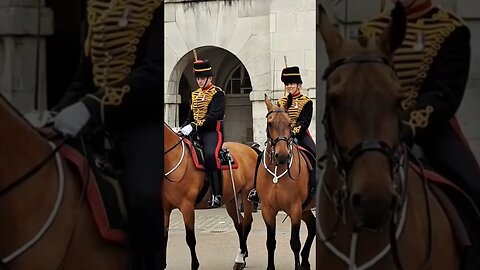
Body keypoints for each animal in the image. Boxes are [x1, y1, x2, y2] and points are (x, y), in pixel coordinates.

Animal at [161, 123, 258, 270]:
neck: (172, 159)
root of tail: (250, 149)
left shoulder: (187, 207)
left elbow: (190, 238)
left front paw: (194, 265)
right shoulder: (165, 209)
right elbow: (164, 237)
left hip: (246, 194)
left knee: (247, 223)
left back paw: (240, 258)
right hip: (231, 199)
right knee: (239, 224)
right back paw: (242, 255)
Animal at [256, 95, 316, 270]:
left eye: (290, 123)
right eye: (269, 123)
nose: (282, 155)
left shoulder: (294, 209)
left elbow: (295, 243)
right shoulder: (267, 210)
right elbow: (270, 242)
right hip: (306, 208)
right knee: (313, 226)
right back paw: (305, 261)